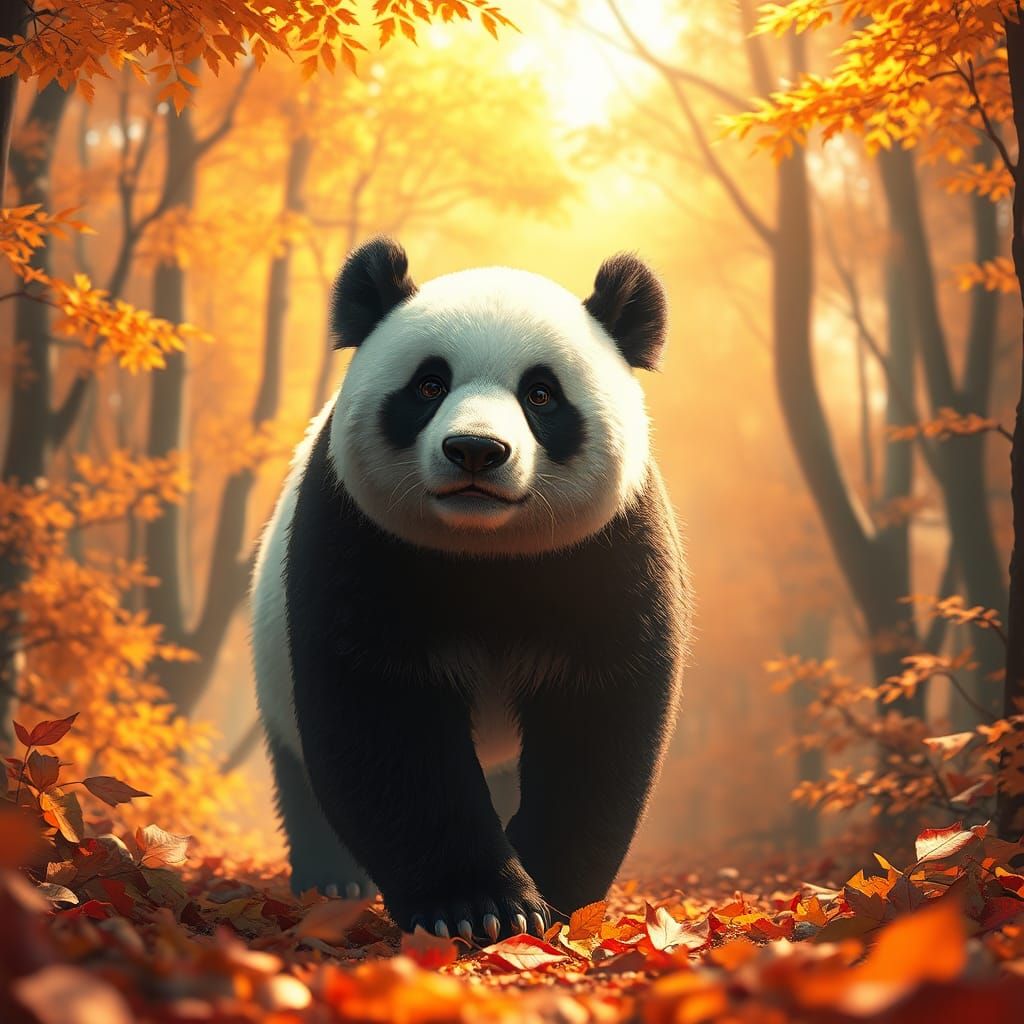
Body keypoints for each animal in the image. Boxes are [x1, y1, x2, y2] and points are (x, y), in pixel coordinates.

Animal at [251, 237, 690, 943]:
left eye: (541, 394)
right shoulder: (360, 539)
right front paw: (478, 907)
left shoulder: (608, 549)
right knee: (299, 769)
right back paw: (332, 882)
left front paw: (555, 900)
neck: (487, 549)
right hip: (270, 669)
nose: (476, 451)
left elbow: (596, 713)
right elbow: (385, 715)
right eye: (430, 385)